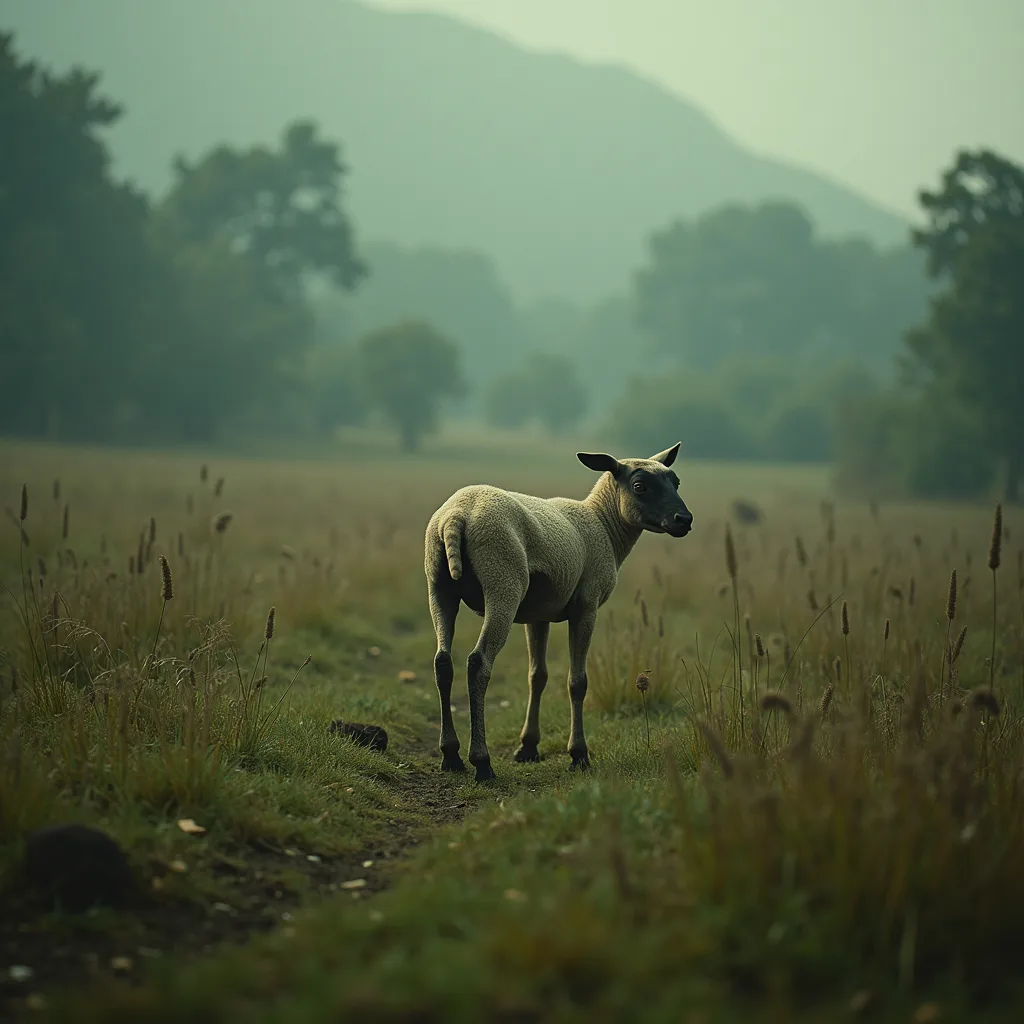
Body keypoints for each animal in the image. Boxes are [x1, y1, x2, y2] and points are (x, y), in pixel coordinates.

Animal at [423, 442, 693, 781]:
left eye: (676, 482)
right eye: (640, 487)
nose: (684, 519)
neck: (603, 524)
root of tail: (457, 515)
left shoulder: (538, 615)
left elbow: (537, 676)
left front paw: (528, 747)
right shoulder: (586, 607)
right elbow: (577, 682)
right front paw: (578, 754)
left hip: (438, 586)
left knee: (442, 662)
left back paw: (450, 755)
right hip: (503, 583)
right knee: (478, 663)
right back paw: (481, 762)